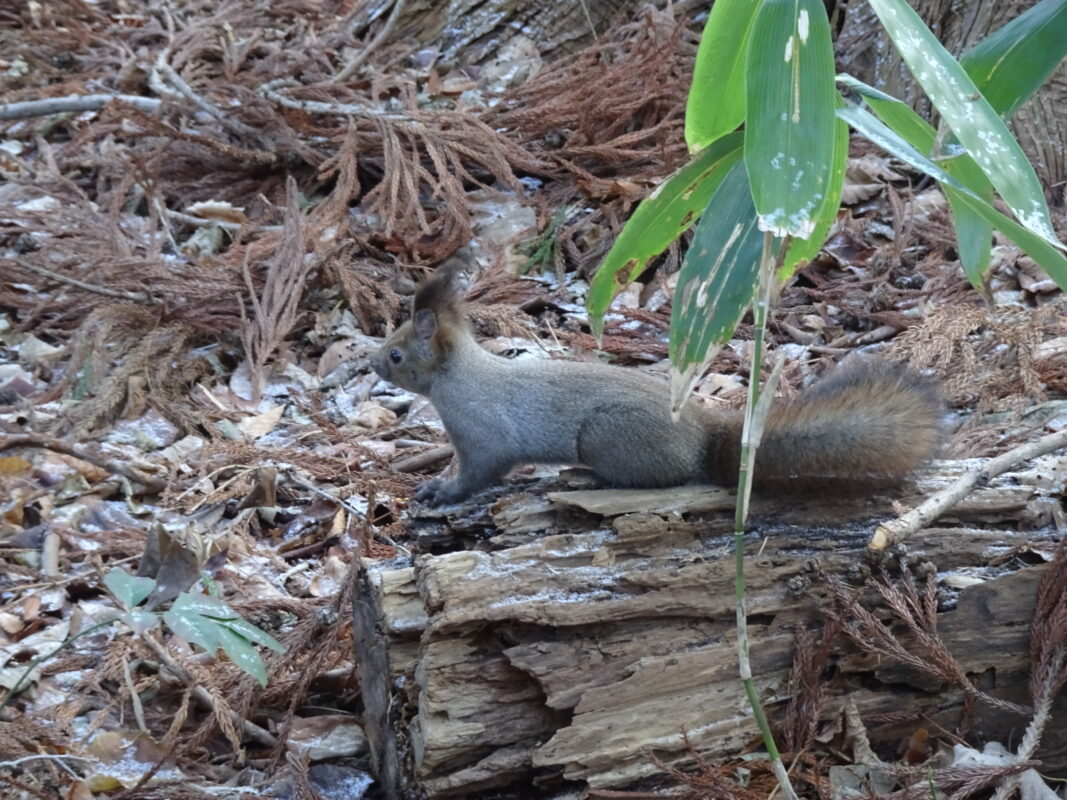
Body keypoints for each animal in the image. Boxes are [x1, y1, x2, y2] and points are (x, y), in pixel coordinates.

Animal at [369, 269, 943, 507]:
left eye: (397, 353)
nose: (373, 363)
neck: (458, 377)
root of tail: (702, 435)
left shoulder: (484, 433)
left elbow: (481, 471)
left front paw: (441, 492)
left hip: (608, 435)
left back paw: (588, 479)